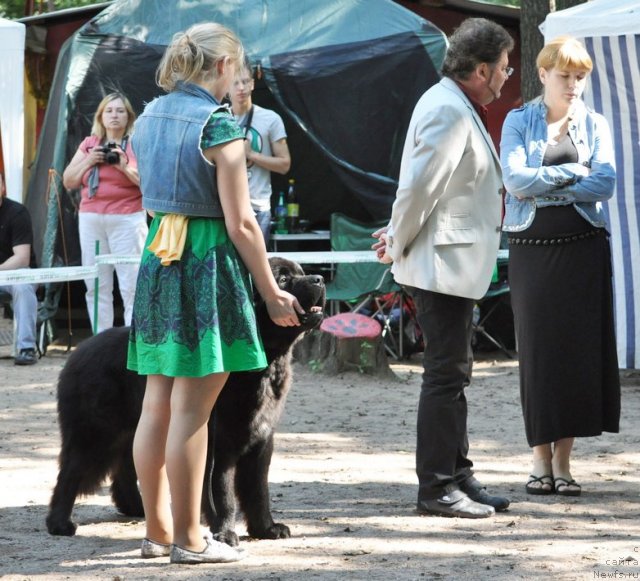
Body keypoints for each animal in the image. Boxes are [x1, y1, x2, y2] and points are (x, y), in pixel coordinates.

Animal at [46, 256, 324, 548]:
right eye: (282, 279)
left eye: (301, 273)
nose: (319, 279)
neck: (265, 365)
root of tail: (78, 352)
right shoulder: (218, 445)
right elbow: (221, 494)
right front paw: (225, 532)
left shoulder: (261, 441)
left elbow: (259, 490)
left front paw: (267, 528)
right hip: (96, 434)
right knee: (69, 474)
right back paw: (59, 523)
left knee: (127, 467)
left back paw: (140, 510)